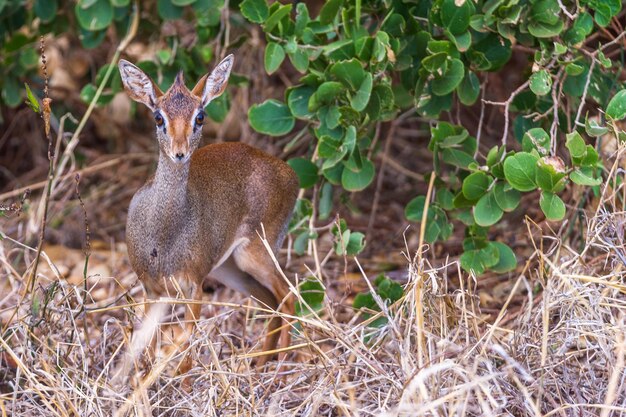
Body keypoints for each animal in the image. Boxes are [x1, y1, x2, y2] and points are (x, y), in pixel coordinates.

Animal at [117, 53, 300, 372]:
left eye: (199, 116)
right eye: (158, 117)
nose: (180, 152)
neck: (163, 237)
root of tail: (289, 173)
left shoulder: (195, 286)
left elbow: (188, 342)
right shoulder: (151, 288)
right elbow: (148, 346)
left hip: (256, 253)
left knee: (288, 296)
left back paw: (281, 367)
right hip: (231, 269)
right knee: (271, 302)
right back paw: (260, 363)